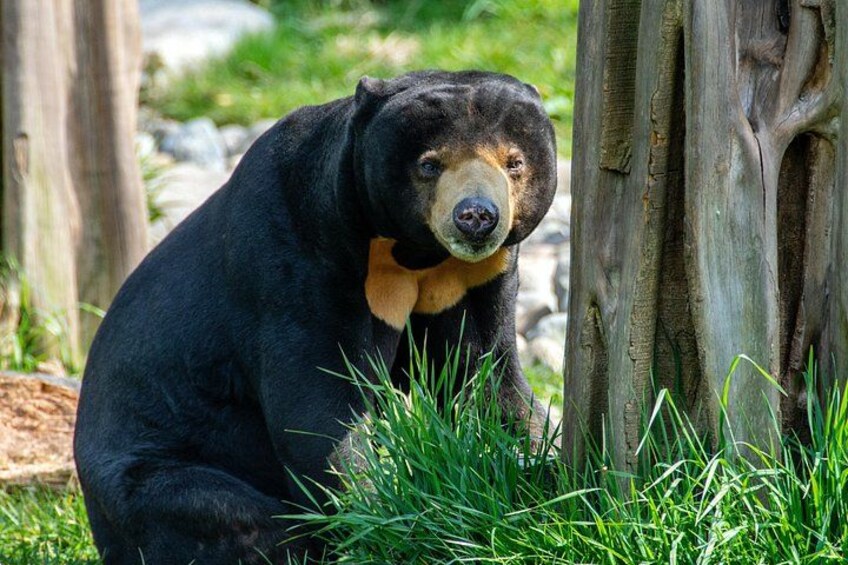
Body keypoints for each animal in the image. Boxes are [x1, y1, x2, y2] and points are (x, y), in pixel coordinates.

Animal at [74, 70, 558, 564]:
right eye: (429, 164)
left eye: (514, 162)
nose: (476, 217)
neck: (410, 254)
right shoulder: (296, 265)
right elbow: (317, 410)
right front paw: (385, 515)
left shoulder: (470, 281)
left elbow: (484, 375)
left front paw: (537, 465)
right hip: (152, 474)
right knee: (230, 517)